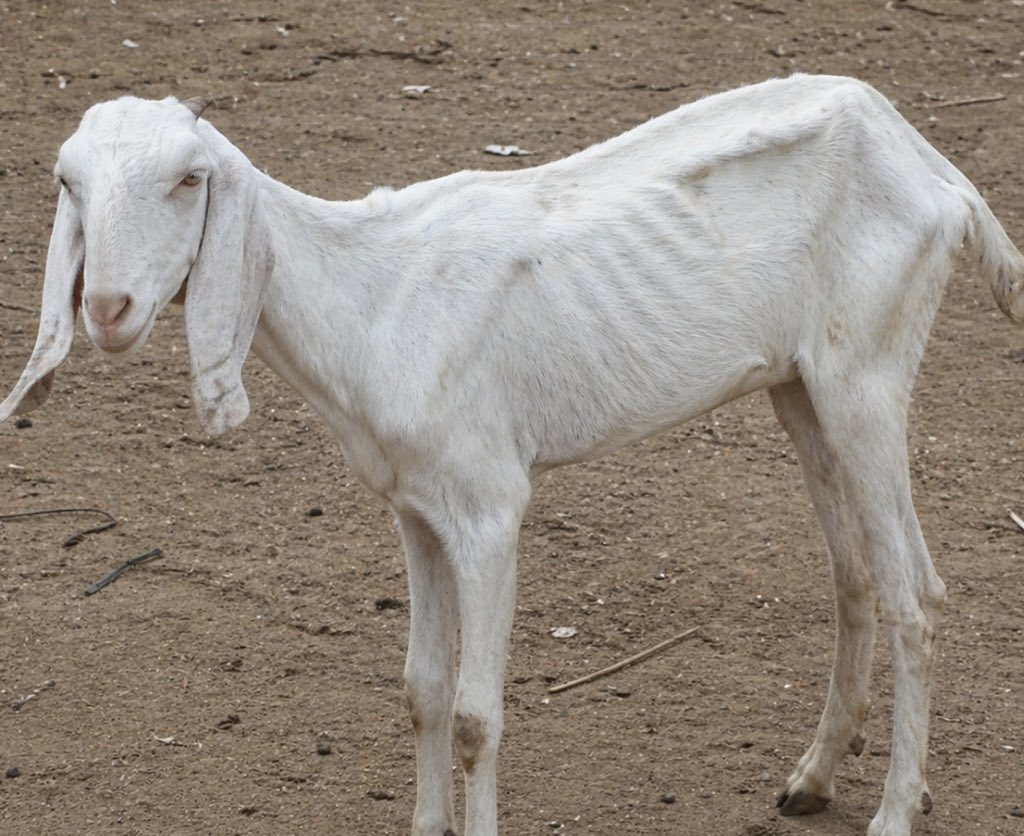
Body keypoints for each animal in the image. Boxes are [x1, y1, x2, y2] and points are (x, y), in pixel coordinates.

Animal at [2, 74, 1022, 836]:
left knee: (916, 594)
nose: (107, 310)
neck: (370, 296)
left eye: (188, 179)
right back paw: (812, 779)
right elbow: (420, 689)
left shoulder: (489, 507)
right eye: (68, 184)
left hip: (868, 375)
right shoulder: (414, 507)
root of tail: (932, 167)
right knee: (857, 575)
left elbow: (474, 716)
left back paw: (894, 810)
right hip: (802, 388)